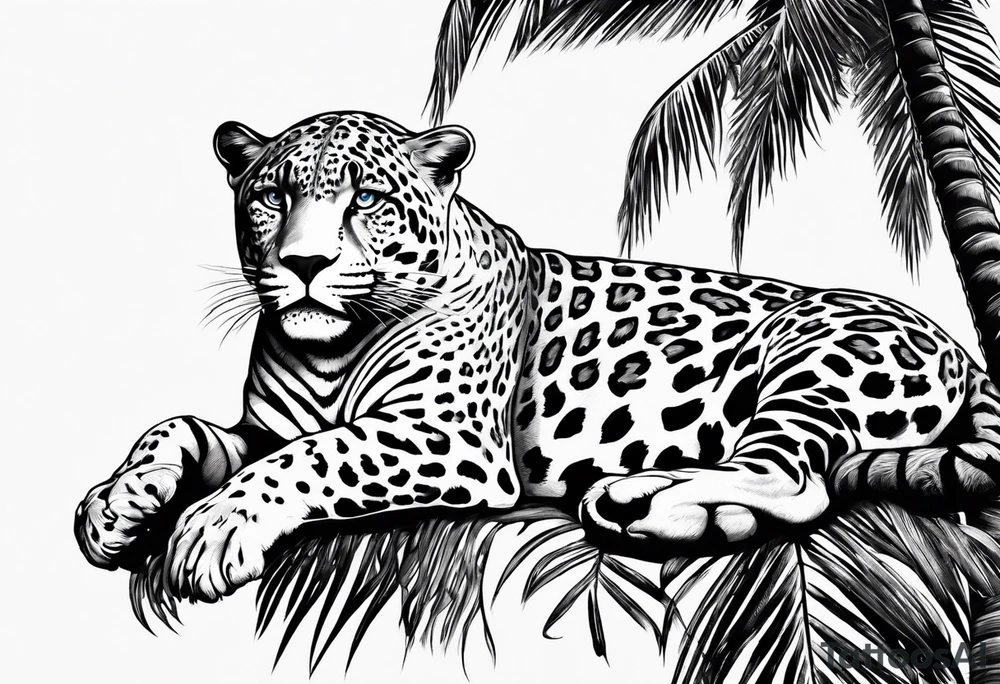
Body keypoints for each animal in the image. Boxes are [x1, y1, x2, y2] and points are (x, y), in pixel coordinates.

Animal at [75, 110, 1000, 603]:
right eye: (271, 195)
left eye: (366, 198)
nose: (304, 263)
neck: (331, 347)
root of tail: (958, 344)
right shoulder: (259, 427)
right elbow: (180, 429)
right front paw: (117, 503)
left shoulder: (448, 437)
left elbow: (320, 454)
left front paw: (216, 527)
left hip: (808, 355)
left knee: (798, 478)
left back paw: (642, 501)